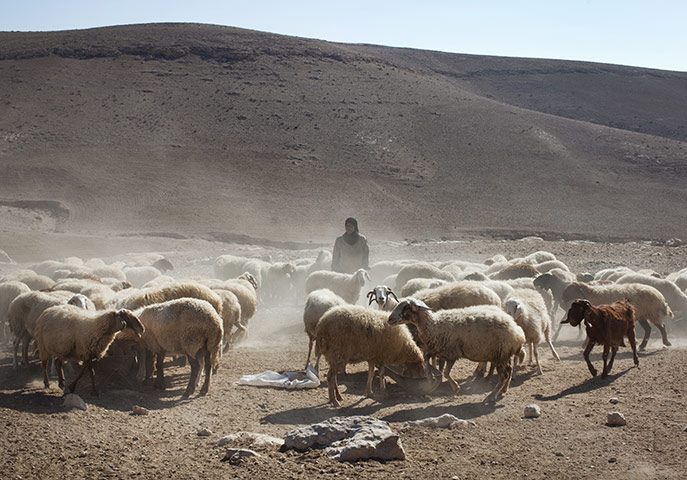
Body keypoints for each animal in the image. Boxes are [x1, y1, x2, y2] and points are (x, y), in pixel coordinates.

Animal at [388, 298, 525, 402]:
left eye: (407, 307)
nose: (389, 319)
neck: (434, 325)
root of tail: (517, 332)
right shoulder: (438, 350)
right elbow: (426, 360)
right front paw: (430, 378)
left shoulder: (451, 353)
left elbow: (445, 373)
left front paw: (456, 388)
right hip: (504, 355)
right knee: (509, 370)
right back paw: (503, 390)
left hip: (500, 355)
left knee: (504, 375)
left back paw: (491, 396)